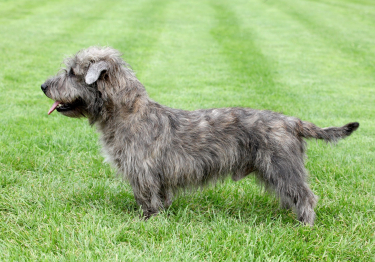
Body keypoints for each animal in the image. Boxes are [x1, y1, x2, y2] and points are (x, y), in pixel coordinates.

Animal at [39, 46, 360, 225]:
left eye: (71, 72)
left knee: (306, 195)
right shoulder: (156, 175)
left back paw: (305, 224)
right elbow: (160, 196)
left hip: (282, 166)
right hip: (275, 170)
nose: (43, 86)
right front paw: (160, 215)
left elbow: (146, 198)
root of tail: (291, 121)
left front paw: (147, 221)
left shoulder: (142, 171)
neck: (126, 112)